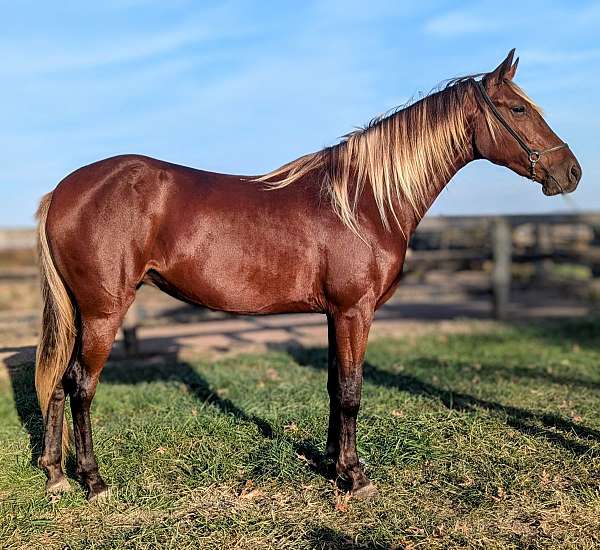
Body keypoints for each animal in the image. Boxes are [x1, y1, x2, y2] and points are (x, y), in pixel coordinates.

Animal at [34, 49, 580, 502]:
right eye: (518, 110)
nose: (571, 172)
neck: (362, 201)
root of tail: (62, 192)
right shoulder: (355, 311)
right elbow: (354, 391)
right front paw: (355, 477)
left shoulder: (334, 313)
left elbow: (336, 388)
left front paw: (333, 463)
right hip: (103, 312)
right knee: (82, 386)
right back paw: (93, 480)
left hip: (80, 314)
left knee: (58, 381)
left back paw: (56, 473)